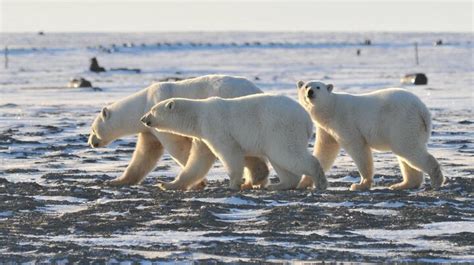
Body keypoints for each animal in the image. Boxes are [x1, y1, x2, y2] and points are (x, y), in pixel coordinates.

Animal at [87, 75, 268, 189]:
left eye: (93, 129)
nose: (91, 142)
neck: (143, 102)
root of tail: (257, 90)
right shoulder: (149, 131)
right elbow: (145, 154)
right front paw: (116, 181)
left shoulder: (161, 117)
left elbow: (177, 146)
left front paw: (198, 182)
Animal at [139, 94, 328, 191]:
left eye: (152, 110)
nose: (143, 119)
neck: (198, 116)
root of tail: (306, 119)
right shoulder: (203, 136)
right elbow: (197, 162)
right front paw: (166, 184)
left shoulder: (215, 127)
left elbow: (229, 153)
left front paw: (234, 184)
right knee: (280, 159)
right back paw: (277, 186)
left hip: (281, 128)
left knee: (288, 154)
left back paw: (319, 182)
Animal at [296, 80, 444, 190]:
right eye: (306, 86)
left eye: (318, 87)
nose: (310, 92)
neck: (331, 108)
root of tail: (422, 110)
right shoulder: (327, 129)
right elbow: (324, 151)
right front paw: (304, 183)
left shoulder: (345, 122)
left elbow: (358, 148)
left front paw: (360, 184)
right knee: (405, 154)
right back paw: (401, 185)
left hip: (402, 122)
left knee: (407, 149)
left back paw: (436, 180)